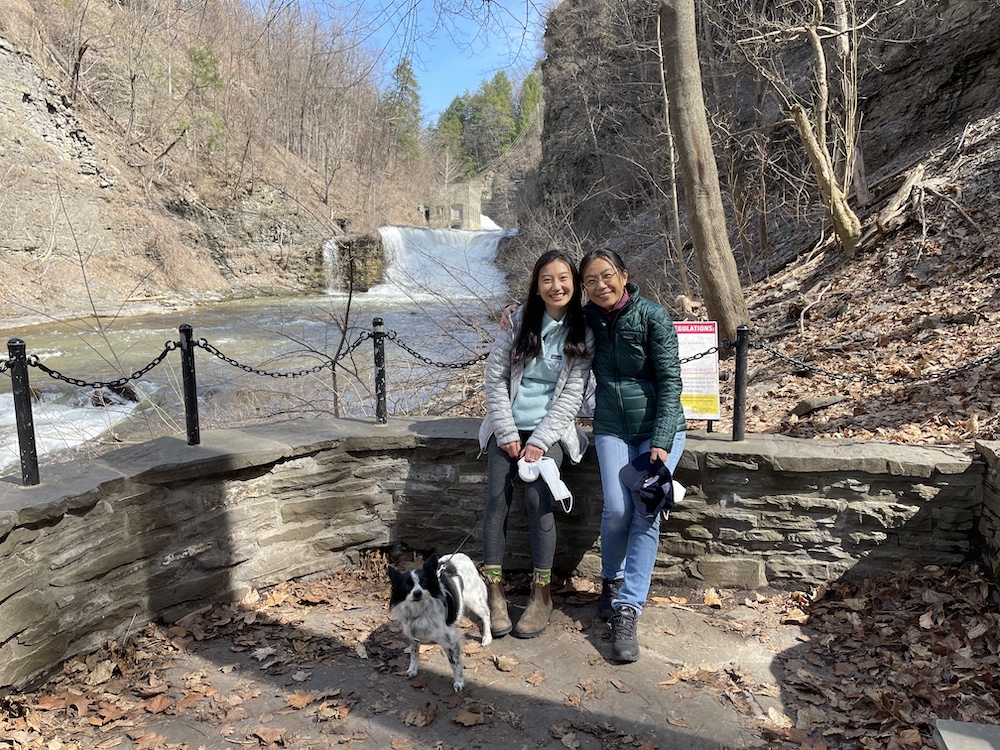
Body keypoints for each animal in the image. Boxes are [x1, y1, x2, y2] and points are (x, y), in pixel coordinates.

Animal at [386, 552, 492, 692]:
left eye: (424, 583)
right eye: (407, 586)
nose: (417, 593)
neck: (420, 610)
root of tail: (461, 555)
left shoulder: (449, 640)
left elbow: (454, 663)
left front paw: (459, 682)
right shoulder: (413, 635)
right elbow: (414, 654)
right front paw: (412, 670)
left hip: (474, 601)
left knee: (486, 615)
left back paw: (487, 637)